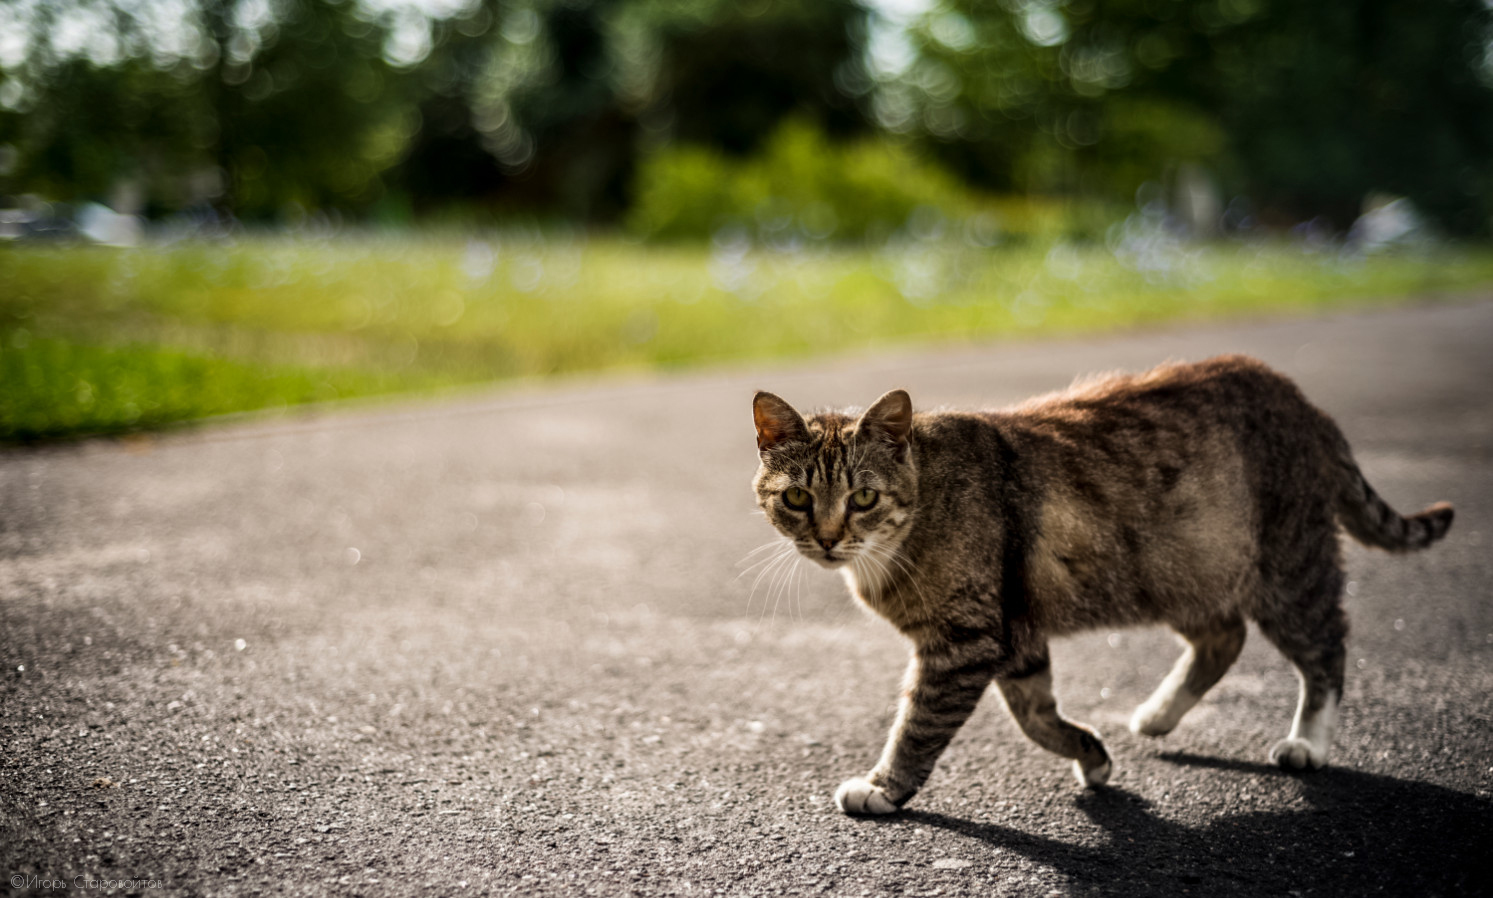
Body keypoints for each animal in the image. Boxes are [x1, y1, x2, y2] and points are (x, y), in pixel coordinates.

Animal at [752, 355, 1451, 812]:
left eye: (864, 497)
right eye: (796, 497)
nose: (827, 538)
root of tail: (1303, 401)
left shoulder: (966, 641)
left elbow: (920, 723)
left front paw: (883, 787)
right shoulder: (1016, 631)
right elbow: (1035, 712)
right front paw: (1091, 752)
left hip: (1288, 571)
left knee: (1326, 649)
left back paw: (1306, 741)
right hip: (1181, 572)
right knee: (1223, 637)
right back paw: (1158, 715)